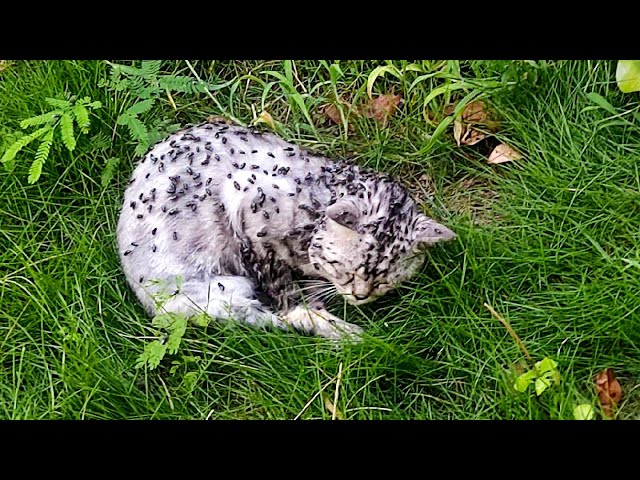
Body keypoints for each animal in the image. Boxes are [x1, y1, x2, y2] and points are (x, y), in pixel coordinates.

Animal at [115, 122, 456, 340]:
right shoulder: (247, 210)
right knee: (263, 317)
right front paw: (316, 310)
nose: (361, 296)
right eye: (347, 271)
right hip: (212, 291)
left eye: (385, 280)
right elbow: (284, 294)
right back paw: (347, 334)